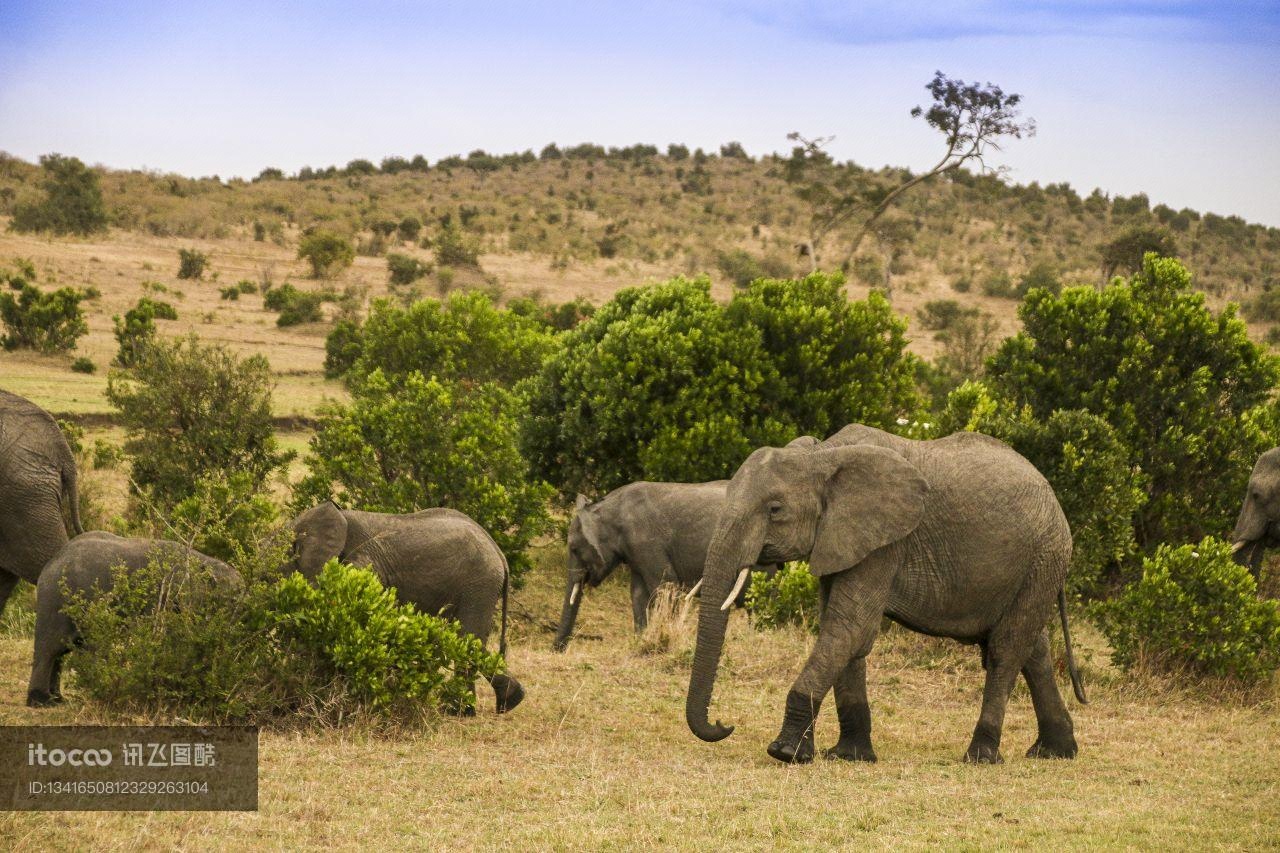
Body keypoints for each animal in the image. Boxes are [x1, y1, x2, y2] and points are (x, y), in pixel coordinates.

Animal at [26, 532, 239, 701]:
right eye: (229, 600)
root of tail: (51, 563)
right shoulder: (164, 596)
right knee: (50, 648)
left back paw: (58, 698)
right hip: (56, 600)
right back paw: (42, 701)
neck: (200, 561)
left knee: (62, 652)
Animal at [686, 425, 1085, 763]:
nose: (724, 724)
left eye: (774, 509)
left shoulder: (886, 543)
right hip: (1035, 566)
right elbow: (845, 633)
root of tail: (1053, 497)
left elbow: (848, 627)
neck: (823, 456)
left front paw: (785, 752)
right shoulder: (842, 538)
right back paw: (1055, 752)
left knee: (1007, 650)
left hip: (1045, 556)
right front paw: (849, 755)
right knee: (1034, 649)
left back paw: (981, 757)